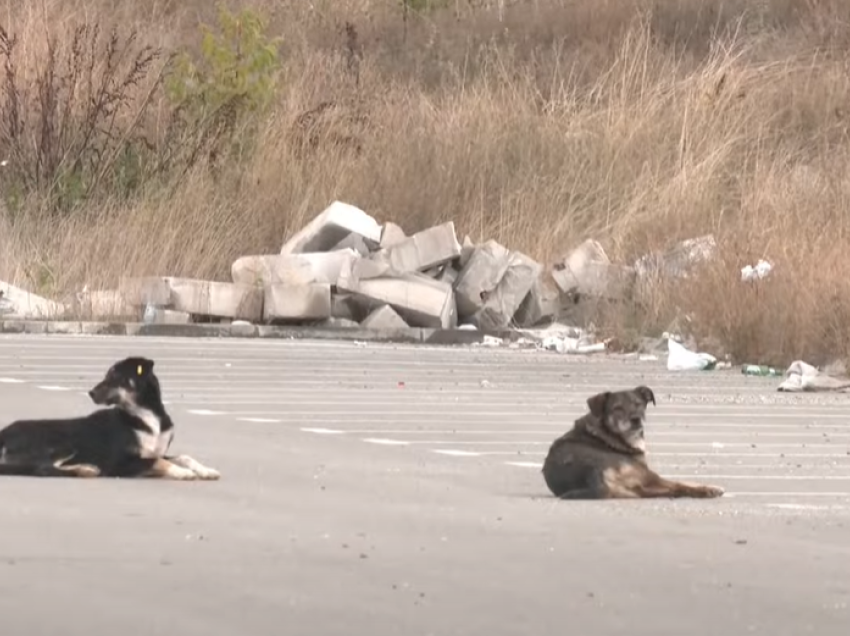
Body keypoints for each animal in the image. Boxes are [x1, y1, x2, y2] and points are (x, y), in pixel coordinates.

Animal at [0, 356, 222, 480]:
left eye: (115, 376)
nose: (90, 393)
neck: (145, 416)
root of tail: (3, 434)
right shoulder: (120, 462)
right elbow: (158, 462)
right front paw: (182, 472)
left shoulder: (153, 451)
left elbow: (183, 456)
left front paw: (206, 470)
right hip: (63, 442)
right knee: (42, 468)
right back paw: (85, 471)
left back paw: (86, 467)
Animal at [544, 386, 724, 500]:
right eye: (617, 408)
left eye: (638, 404)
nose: (636, 419)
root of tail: (591, 475)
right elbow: (682, 482)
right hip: (646, 474)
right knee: (677, 486)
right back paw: (709, 490)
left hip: (634, 488)